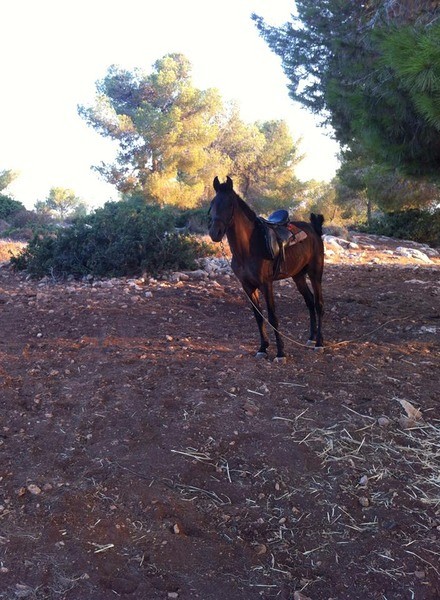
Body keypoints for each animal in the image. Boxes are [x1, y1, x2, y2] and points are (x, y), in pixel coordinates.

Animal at [208, 173, 324, 360]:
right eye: (212, 204)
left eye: (230, 204)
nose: (215, 233)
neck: (248, 248)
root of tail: (314, 228)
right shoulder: (247, 286)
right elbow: (258, 316)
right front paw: (263, 348)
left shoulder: (266, 284)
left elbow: (272, 316)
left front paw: (280, 353)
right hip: (298, 276)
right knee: (310, 301)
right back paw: (311, 338)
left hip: (315, 273)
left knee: (319, 304)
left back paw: (319, 343)